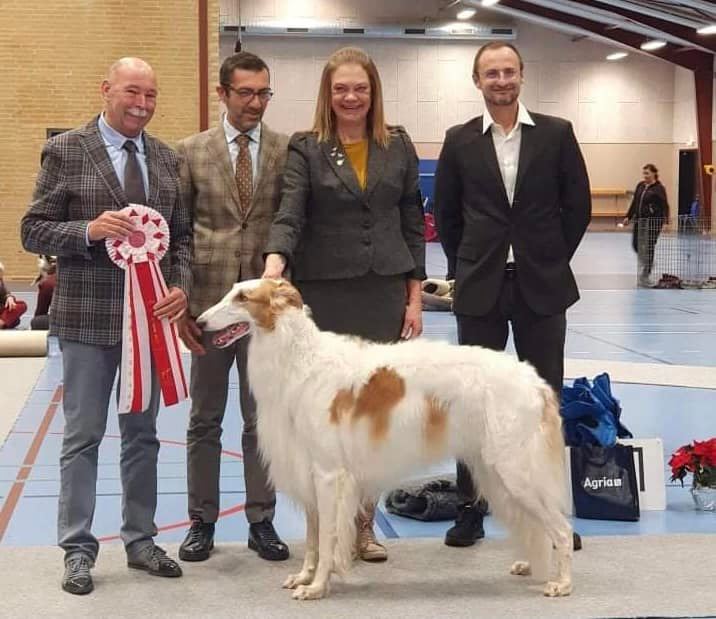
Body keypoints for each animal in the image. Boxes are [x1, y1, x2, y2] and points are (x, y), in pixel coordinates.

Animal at [199, 280, 572, 600]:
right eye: (231, 291)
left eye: (242, 297)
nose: (200, 322)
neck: (301, 359)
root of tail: (535, 382)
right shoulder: (310, 473)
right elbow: (312, 539)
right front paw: (304, 577)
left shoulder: (329, 475)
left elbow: (327, 540)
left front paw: (316, 587)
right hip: (496, 473)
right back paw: (530, 565)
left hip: (515, 471)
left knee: (562, 529)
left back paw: (562, 583)